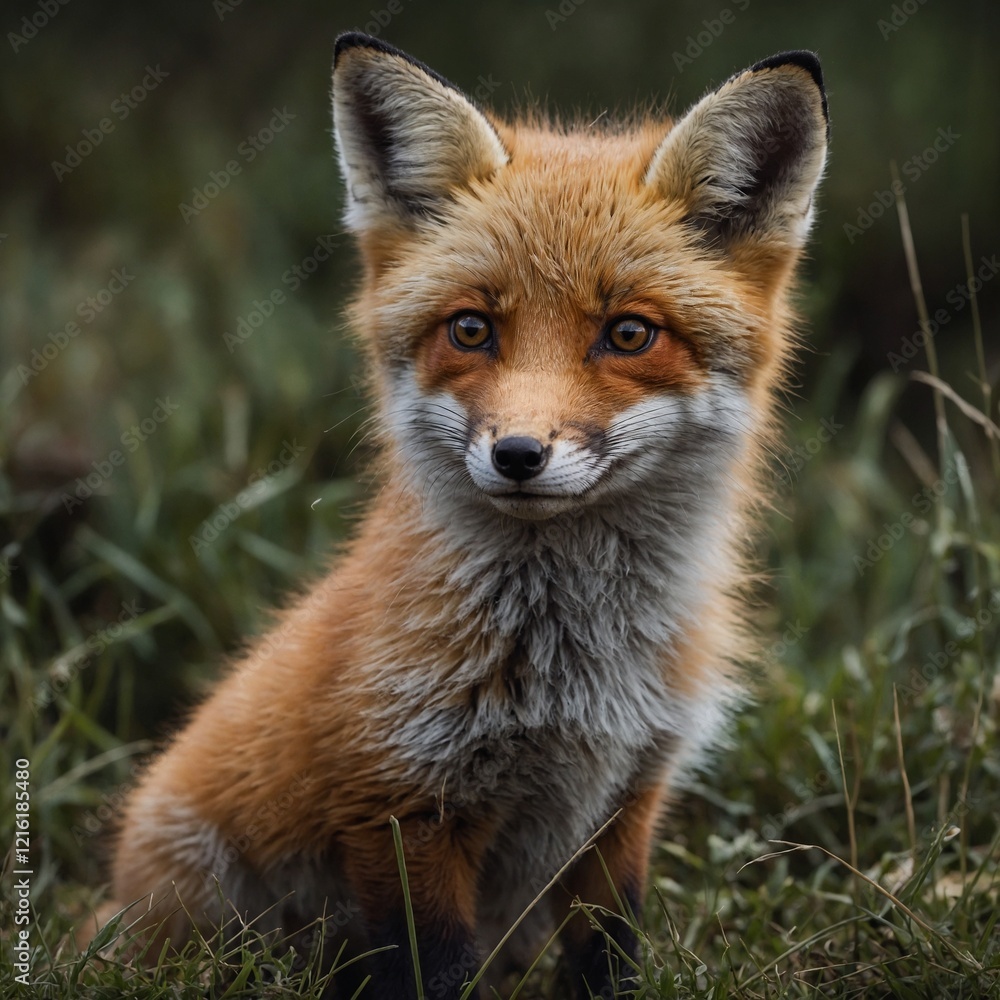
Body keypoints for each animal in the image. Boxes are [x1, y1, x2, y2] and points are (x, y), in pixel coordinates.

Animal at [90, 32, 828, 999]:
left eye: (629, 334)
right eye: (472, 329)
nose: (517, 454)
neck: (570, 674)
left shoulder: (625, 802)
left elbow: (607, 955)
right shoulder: (404, 806)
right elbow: (432, 968)